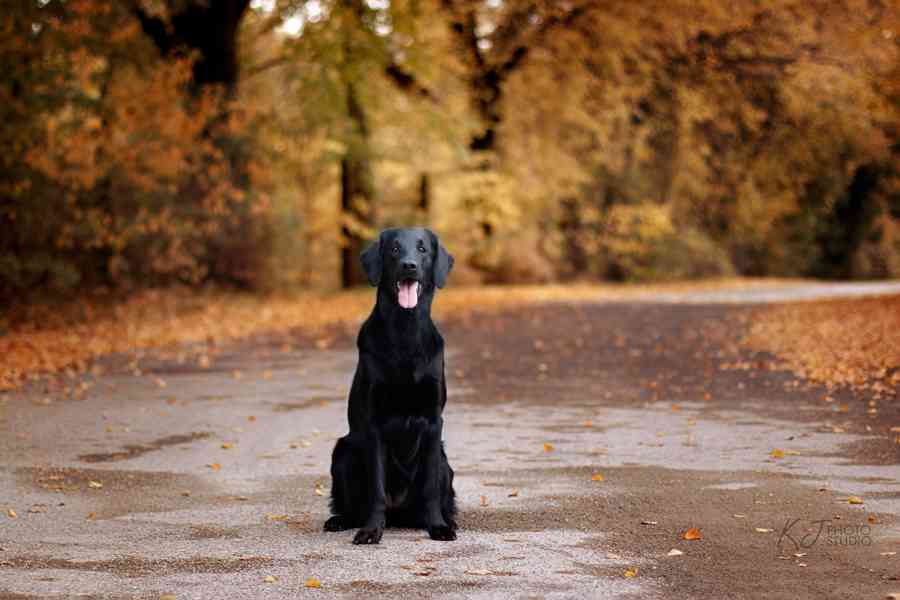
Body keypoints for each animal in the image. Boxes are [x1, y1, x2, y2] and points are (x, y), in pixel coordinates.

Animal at [324, 226, 458, 544]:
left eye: (422, 249)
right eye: (395, 249)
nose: (409, 265)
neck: (405, 331)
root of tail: (399, 514)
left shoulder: (433, 421)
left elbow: (430, 488)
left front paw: (438, 526)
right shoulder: (374, 423)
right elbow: (377, 489)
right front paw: (372, 529)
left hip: (445, 462)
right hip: (343, 452)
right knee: (352, 505)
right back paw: (340, 520)